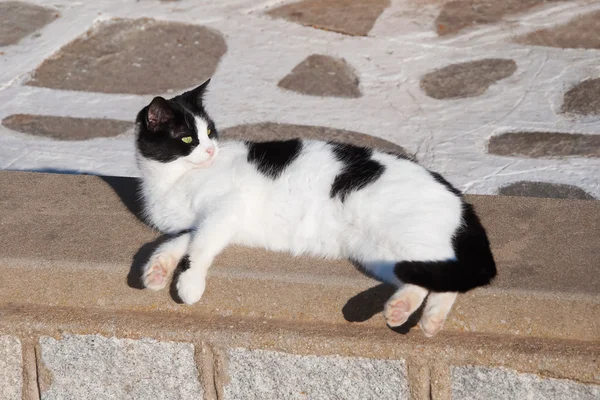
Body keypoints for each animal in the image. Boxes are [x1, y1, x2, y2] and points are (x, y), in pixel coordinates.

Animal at [136, 79, 496, 336]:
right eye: (187, 139)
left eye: (210, 131)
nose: (211, 150)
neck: (172, 178)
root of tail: (460, 197)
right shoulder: (203, 223)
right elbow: (180, 241)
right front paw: (158, 271)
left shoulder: (224, 210)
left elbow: (199, 247)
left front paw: (189, 284)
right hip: (381, 254)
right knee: (436, 282)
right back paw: (413, 315)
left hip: (407, 239)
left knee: (449, 276)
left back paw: (414, 314)